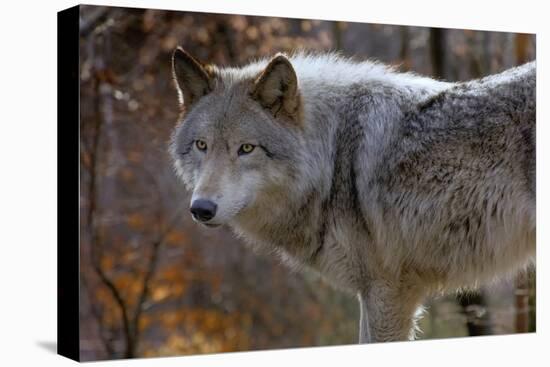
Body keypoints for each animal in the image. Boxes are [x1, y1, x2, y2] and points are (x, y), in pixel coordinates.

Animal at [170, 47, 536, 344]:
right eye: (202, 145)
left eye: (246, 149)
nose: (201, 209)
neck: (332, 157)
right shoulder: (374, 293)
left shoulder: (388, 292)